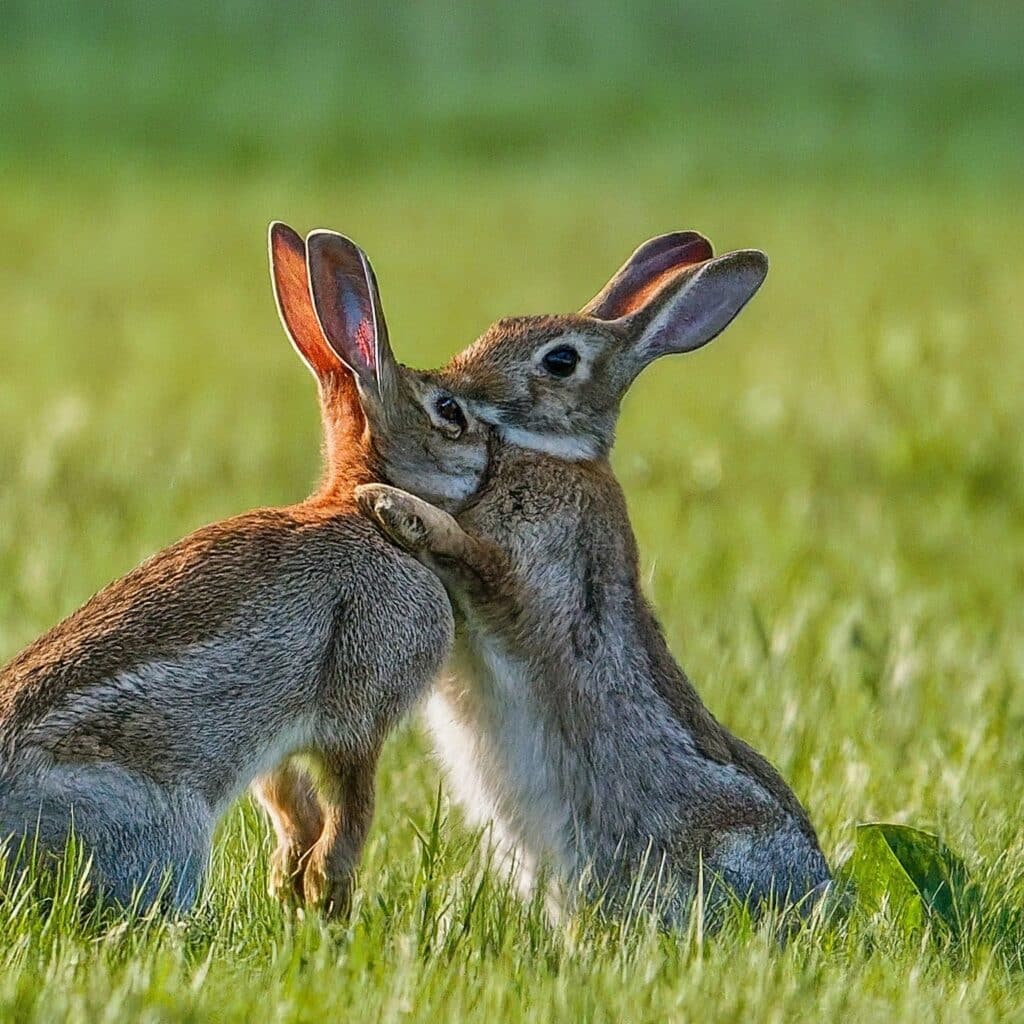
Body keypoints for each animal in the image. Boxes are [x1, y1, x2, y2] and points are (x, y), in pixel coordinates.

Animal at [1, 224, 491, 913]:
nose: (494, 448)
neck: (360, 505)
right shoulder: (360, 714)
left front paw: (291, 885)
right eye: (450, 412)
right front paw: (328, 896)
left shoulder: (278, 747)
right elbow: (352, 807)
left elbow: (289, 801)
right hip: (158, 833)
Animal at [360, 235, 831, 925]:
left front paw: (391, 505)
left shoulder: (523, 569)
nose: (457, 384)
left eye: (560, 361)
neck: (554, 453)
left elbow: (472, 558)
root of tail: (822, 890)